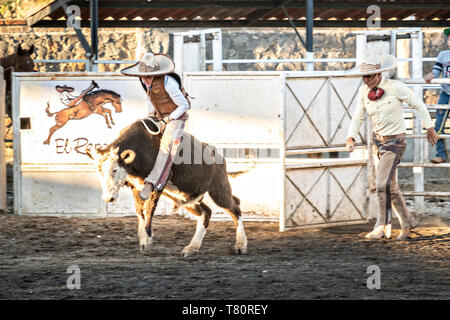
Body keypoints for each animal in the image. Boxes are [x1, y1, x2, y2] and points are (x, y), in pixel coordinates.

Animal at [86, 119, 248, 256]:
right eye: (99, 170)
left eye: (114, 170)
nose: (108, 198)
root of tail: (219, 156)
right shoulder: (136, 187)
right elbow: (140, 212)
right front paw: (143, 240)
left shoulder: (157, 183)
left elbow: (149, 208)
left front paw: (148, 237)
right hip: (187, 197)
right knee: (206, 212)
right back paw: (191, 247)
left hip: (219, 189)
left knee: (235, 207)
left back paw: (240, 244)